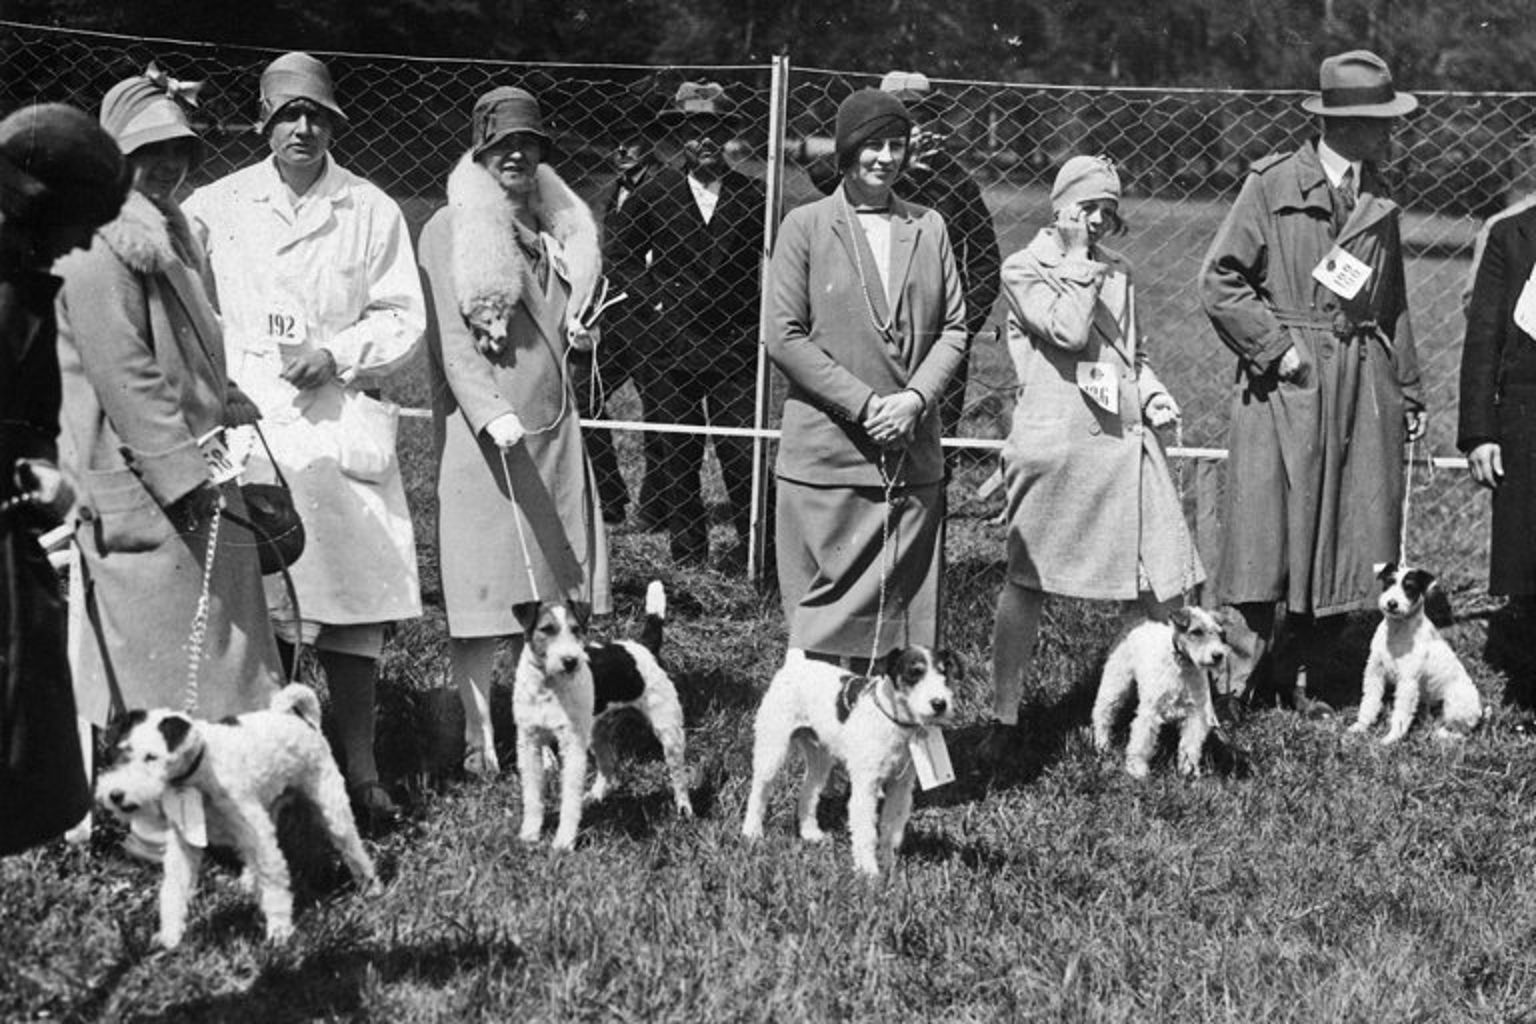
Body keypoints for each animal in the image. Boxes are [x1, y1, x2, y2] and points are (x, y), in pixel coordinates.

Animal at [95, 684, 377, 951]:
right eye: (122, 752)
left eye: (151, 756)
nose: (115, 795)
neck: (200, 769)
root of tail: (297, 719)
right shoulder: (185, 845)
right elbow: (173, 890)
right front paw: (169, 937)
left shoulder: (255, 832)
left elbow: (275, 884)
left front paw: (279, 935)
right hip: (268, 809)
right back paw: (248, 882)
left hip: (330, 806)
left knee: (354, 850)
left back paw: (371, 888)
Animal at [509, 583, 691, 847]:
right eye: (546, 629)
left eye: (575, 629)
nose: (570, 661)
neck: (547, 686)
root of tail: (644, 647)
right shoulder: (529, 742)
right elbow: (533, 796)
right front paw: (529, 834)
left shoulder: (572, 744)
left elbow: (569, 798)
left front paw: (563, 842)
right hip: (597, 732)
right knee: (609, 768)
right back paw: (594, 797)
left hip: (669, 731)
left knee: (679, 776)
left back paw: (684, 810)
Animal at [740, 644, 958, 878]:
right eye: (914, 672)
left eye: (943, 673)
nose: (940, 704)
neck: (893, 722)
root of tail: (795, 663)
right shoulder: (866, 786)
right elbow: (867, 833)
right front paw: (870, 872)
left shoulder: (900, 786)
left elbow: (891, 829)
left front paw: (889, 867)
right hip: (773, 749)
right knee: (758, 792)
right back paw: (751, 833)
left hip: (820, 758)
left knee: (808, 792)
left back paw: (810, 833)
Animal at [1093, 607, 1234, 776]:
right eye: (1196, 631)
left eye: (1221, 633)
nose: (1218, 655)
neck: (1182, 666)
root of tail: (1137, 621)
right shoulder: (1150, 713)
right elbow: (1141, 743)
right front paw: (1137, 769)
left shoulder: (1195, 715)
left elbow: (1190, 746)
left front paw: (1188, 770)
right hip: (1115, 685)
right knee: (1102, 715)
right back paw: (1102, 745)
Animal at [1351, 561, 1480, 746]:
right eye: (1389, 582)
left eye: (1410, 588)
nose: (1392, 603)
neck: (1396, 630)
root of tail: (1481, 714)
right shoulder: (1375, 672)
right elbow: (1369, 702)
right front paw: (1360, 726)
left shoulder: (1408, 681)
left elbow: (1401, 714)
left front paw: (1391, 738)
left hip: (1454, 702)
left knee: (1463, 733)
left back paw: (1442, 734)